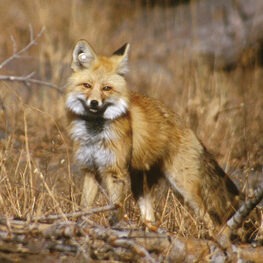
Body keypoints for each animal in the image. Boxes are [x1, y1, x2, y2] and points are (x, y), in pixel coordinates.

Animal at [66, 40, 241, 232]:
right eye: (87, 86)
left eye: (106, 88)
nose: (94, 103)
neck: (94, 134)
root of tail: (189, 129)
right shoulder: (90, 170)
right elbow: (84, 208)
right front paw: (80, 227)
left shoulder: (115, 172)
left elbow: (115, 209)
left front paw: (116, 229)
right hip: (141, 186)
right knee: (151, 217)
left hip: (184, 189)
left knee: (213, 221)